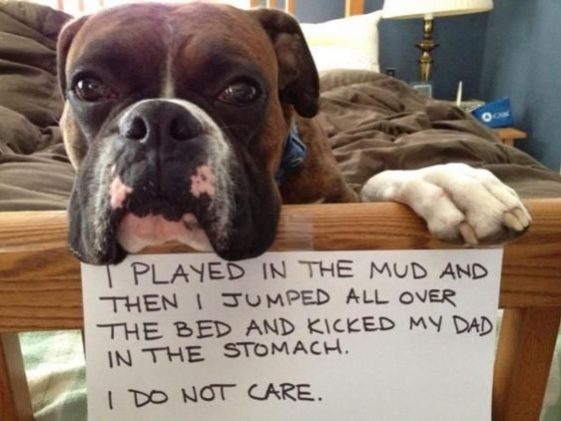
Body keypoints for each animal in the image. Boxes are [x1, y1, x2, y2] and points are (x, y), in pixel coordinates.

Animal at [57, 1, 528, 264]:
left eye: (241, 91)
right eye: (88, 86)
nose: (157, 122)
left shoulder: (347, 201)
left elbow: (377, 181)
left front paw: (450, 183)